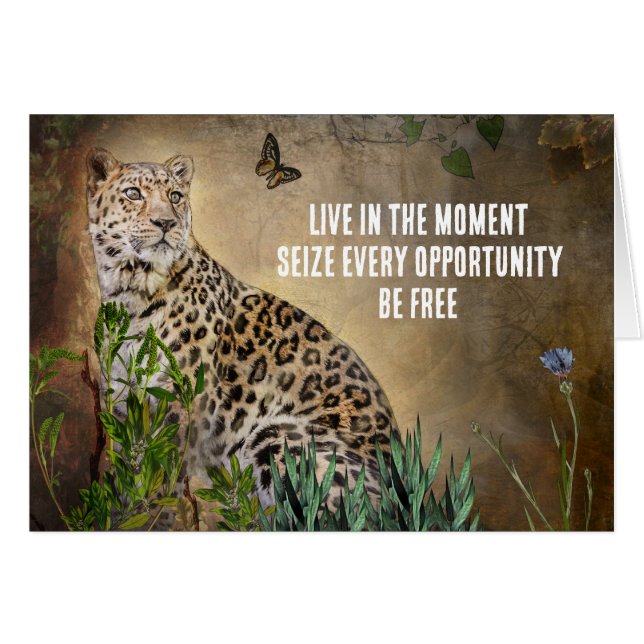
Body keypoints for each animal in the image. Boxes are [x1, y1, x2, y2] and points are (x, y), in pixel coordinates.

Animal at [85, 147, 400, 526]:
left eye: (175, 197)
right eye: (133, 194)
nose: (166, 223)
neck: (128, 293)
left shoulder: (181, 405)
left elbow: (162, 477)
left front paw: (154, 519)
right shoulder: (121, 408)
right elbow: (128, 473)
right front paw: (123, 514)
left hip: (277, 436)